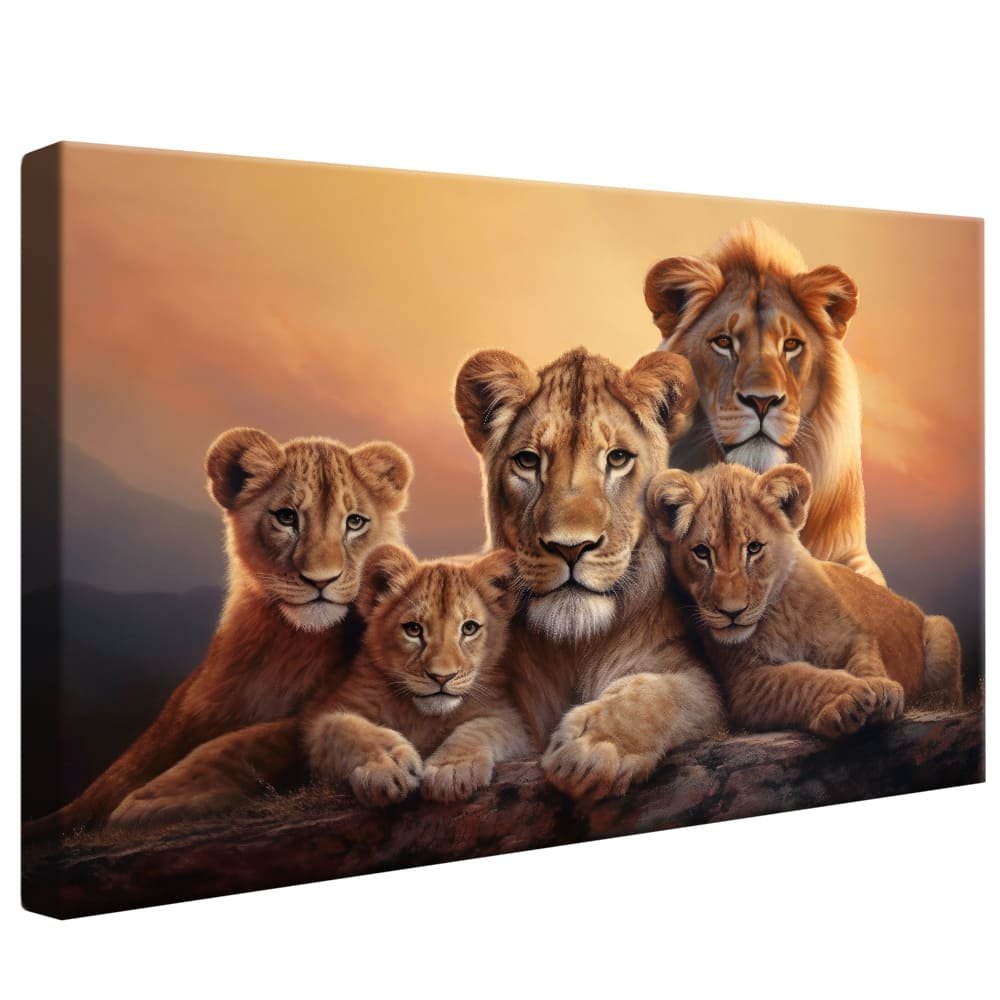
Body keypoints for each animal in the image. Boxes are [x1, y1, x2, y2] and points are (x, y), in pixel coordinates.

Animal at [454, 346, 725, 800]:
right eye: (528, 461)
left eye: (617, 458)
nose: (570, 547)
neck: (574, 647)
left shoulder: (698, 678)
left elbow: (663, 692)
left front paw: (593, 746)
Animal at [646, 462, 962, 739]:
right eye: (702, 552)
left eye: (754, 548)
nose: (731, 612)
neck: (779, 612)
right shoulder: (744, 684)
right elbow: (801, 679)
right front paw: (849, 697)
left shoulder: (852, 637)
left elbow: (866, 660)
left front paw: (881, 688)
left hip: (942, 629)